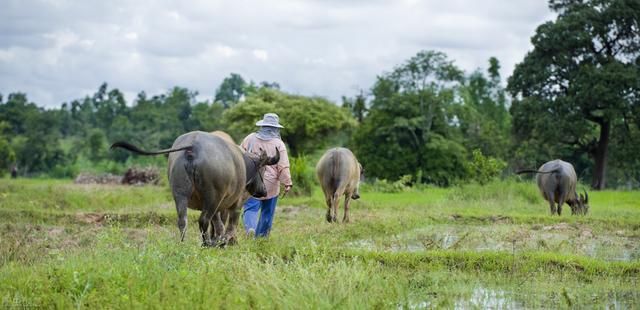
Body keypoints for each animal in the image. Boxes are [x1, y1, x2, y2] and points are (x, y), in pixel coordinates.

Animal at [110, 130, 280, 245]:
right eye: (264, 169)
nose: (263, 191)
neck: (245, 164)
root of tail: (193, 146)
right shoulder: (235, 204)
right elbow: (229, 226)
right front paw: (225, 242)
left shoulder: (219, 207)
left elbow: (218, 225)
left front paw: (220, 240)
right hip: (212, 197)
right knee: (204, 220)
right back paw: (207, 244)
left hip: (180, 193)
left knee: (182, 220)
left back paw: (184, 243)